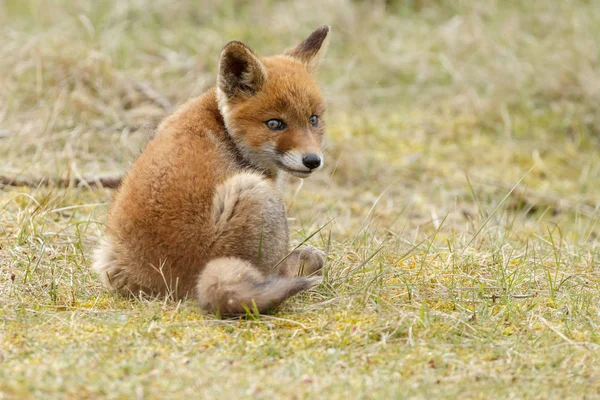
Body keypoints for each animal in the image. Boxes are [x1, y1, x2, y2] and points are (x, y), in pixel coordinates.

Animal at [91, 25, 330, 316]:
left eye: (313, 120)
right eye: (275, 124)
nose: (312, 160)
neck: (222, 125)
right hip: (255, 192)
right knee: (276, 272)